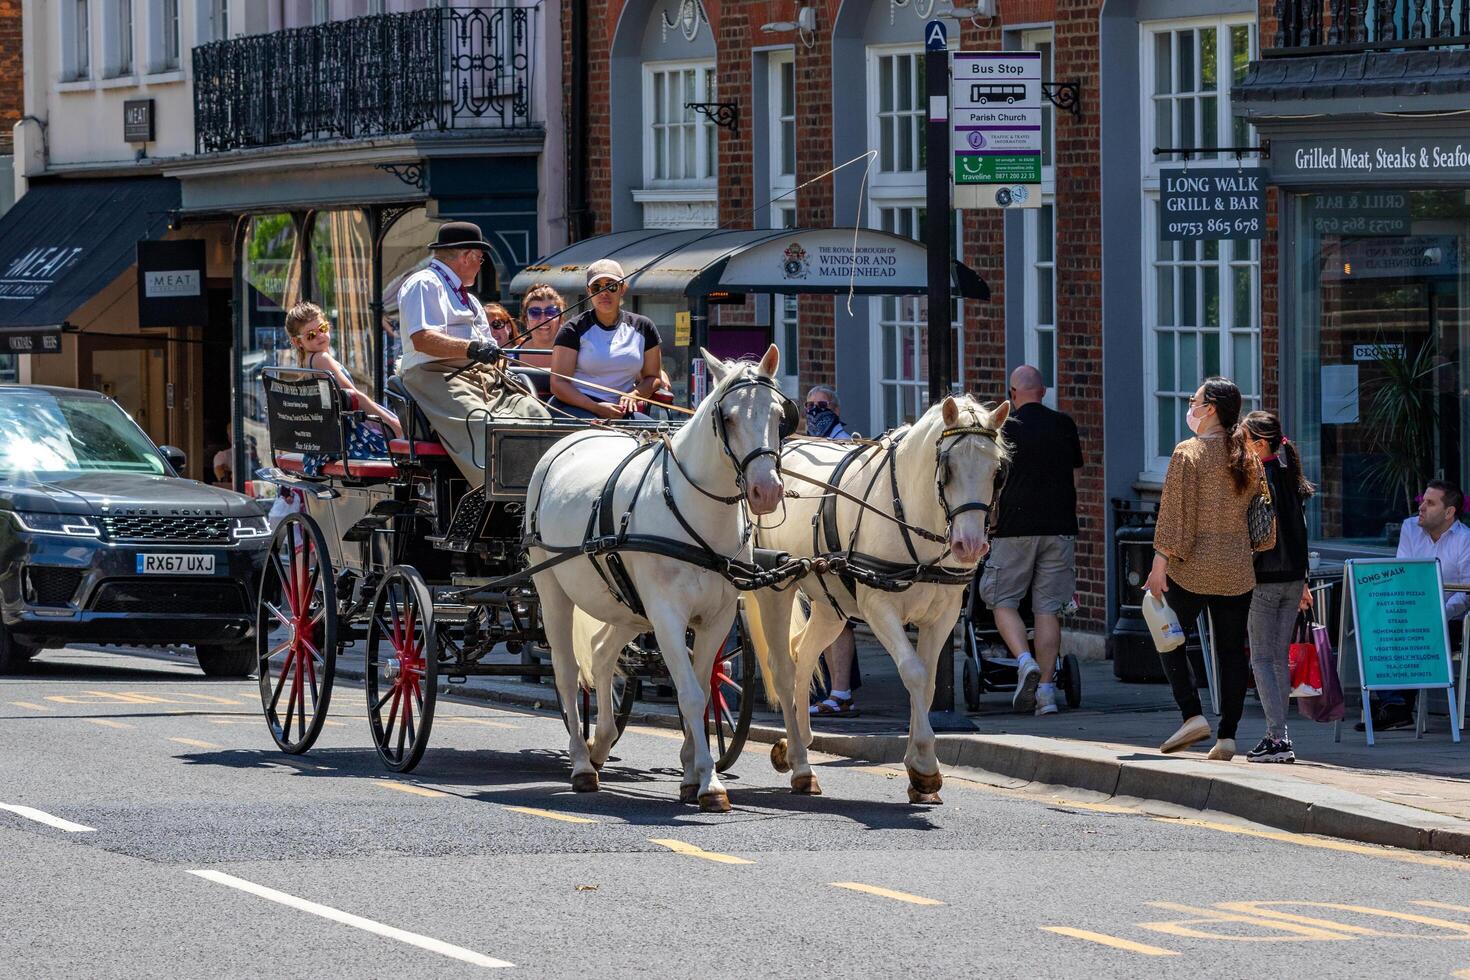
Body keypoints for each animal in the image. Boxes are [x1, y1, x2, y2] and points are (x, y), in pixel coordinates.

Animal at [523, 345, 787, 811]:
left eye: (778, 414)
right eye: (728, 417)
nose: (766, 491)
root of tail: (569, 439)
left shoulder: (717, 617)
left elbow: (702, 691)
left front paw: (692, 774)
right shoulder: (666, 615)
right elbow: (690, 693)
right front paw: (710, 783)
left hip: (626, 606)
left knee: (602, 655)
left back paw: (600, 744)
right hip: (554, 591)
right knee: (567, 672)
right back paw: (580, 762)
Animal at [746, 396, 1011, 805]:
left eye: (997, 471)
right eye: (948, 467)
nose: (969, 546)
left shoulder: (944, 615)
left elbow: (929, 685)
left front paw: (919, 770)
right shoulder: (878, 608)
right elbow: (914, 673)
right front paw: (925, 767)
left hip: (831, 604)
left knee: (804, 654)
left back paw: (797, 743)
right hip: (775, 587)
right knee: (783, 668)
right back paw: (802, 764)